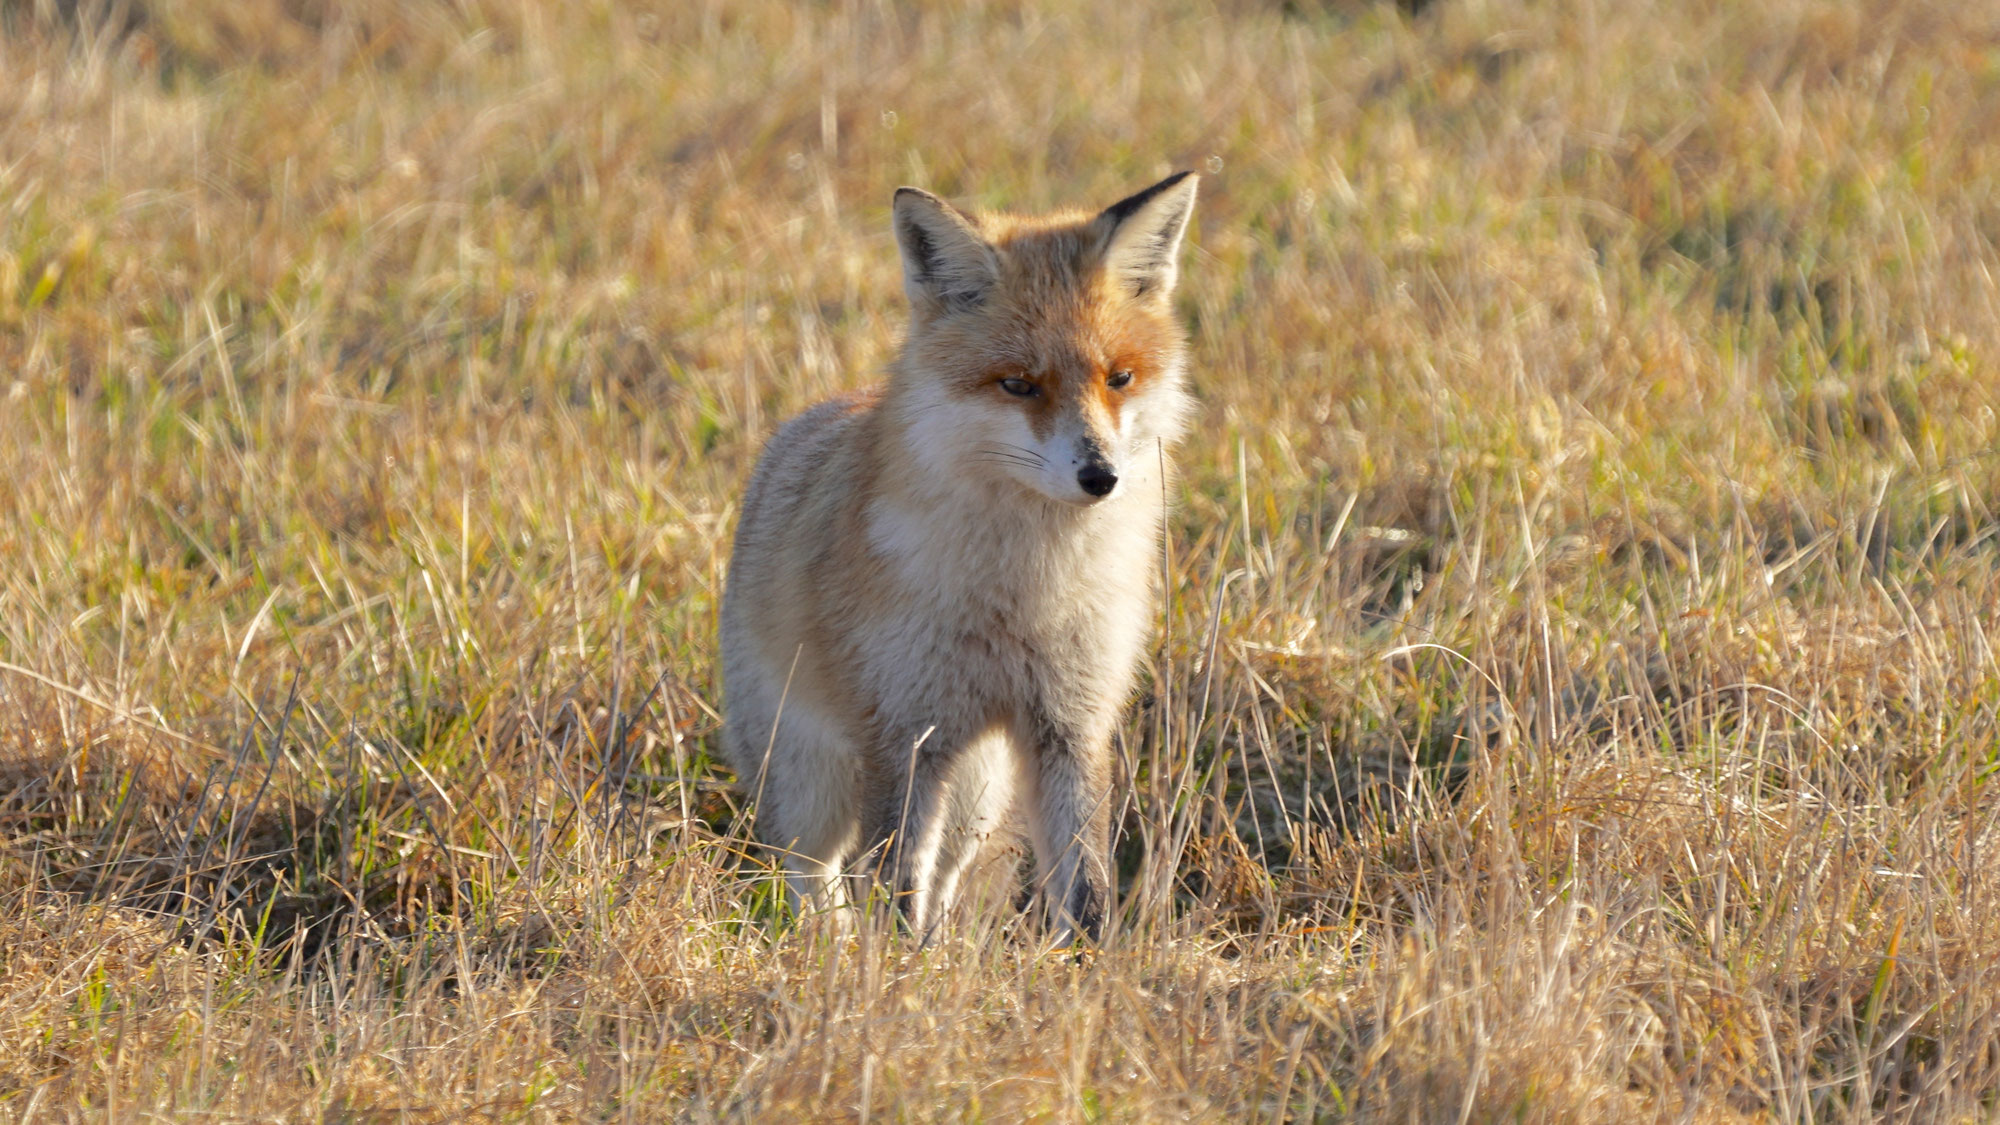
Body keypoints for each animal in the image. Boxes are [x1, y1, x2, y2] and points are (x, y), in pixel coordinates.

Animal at [718, 171, 1198, 941]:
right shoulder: (905, 734)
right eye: (1019, 384)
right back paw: (827, 949)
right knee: (814, 877)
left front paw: (1094, 966)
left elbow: (1086, 888)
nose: (1101, 477)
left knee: (942, 878)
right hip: (812, 784)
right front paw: (891, 969)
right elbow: (891, 885)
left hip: (978, 791)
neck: (1025, 594)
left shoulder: (1070, 725)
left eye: (1119, 377)